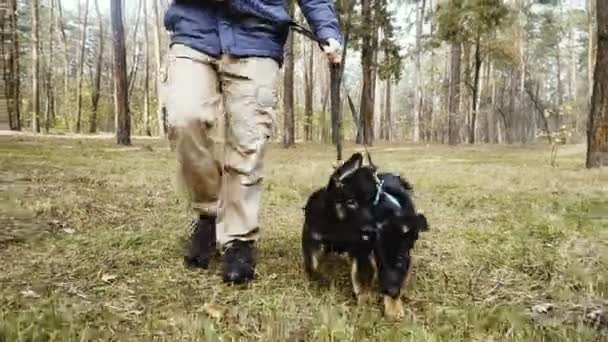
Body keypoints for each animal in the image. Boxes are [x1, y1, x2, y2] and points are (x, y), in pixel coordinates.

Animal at [300, 154, 428, 320]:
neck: (339, 227)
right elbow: (313, 263)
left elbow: (363, 275)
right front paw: (318, 280)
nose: (373, 230)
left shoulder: (361, 249)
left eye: (372, 203)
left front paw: (367, 302)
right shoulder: (312, 236)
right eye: (351, 202)